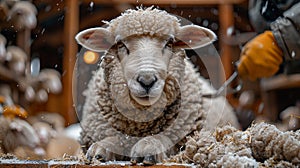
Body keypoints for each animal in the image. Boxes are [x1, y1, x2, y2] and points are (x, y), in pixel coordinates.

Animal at [75, 7, 239, 165]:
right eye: (120, 44)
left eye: (169, 43)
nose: (147, 80)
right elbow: (115, 139)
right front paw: (101, 148)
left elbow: (163, 138)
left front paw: (148, 146)